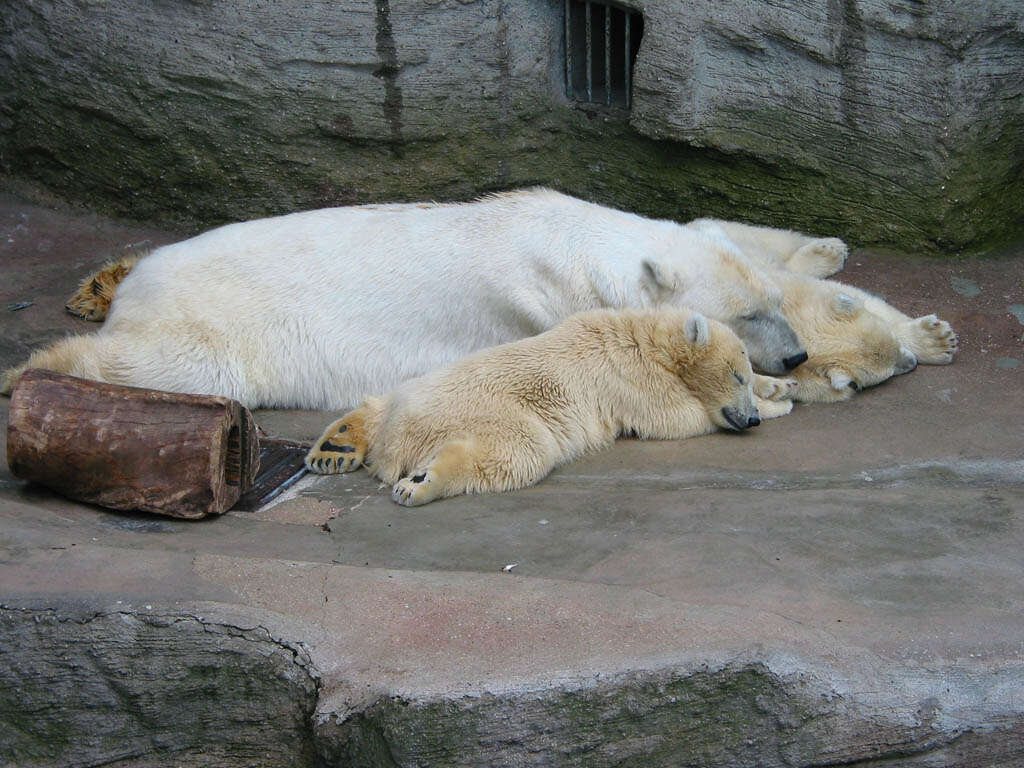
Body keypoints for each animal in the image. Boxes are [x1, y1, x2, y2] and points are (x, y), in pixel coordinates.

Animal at [2, 190, 806, 411]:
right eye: (746, 315)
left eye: (774, 301)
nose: (796, 355)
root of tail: (141, 280)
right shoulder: (539, 307)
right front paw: (763, 386)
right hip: (213, 326)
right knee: (164, 366)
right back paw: (28, 371)